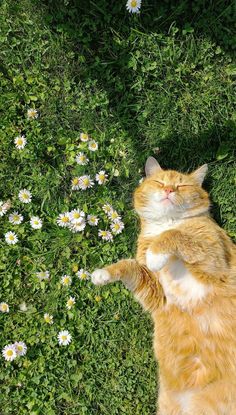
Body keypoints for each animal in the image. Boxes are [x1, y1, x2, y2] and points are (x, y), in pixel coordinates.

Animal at [91, 157, 236, 415]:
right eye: (160, 182)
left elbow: (174, 236)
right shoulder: (156, 293)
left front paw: (156, 253)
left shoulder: (214, 262)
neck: (168, 222)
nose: (169, 190)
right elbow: (129, 266)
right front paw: (102, 274)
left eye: (181, 186)